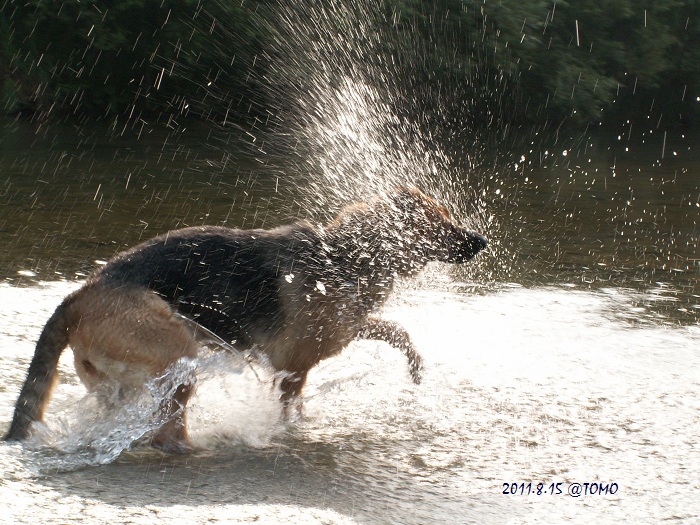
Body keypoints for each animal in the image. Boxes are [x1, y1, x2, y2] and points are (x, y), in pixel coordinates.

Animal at [4, 184, 486, 450]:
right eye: (440, 221)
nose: (482, 239)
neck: (346, 257)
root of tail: (78, 294)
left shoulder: (341, 331)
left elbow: (395, 330)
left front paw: (416, 368)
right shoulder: (294, 368)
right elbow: (291, 409)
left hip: (120, 382)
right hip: (177, 354)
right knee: (165, 432)